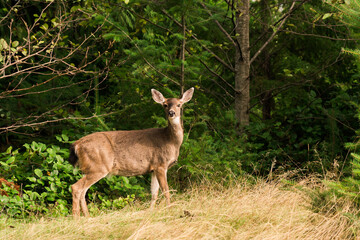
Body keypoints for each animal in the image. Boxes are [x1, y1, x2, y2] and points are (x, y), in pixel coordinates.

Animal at [69, 87, 195, 217]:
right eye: (165, 105)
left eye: (179, 105)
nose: (171, 112)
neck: (170, 140)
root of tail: (77, 144)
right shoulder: (161, 164)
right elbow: (166, 191)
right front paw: (169, 210)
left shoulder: (154, 168)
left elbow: (154, 193)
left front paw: (151, 212)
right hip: (98, 166)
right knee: (76, 187)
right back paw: (76, 217)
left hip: (89, 168)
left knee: (83, 190)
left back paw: (87, 216)